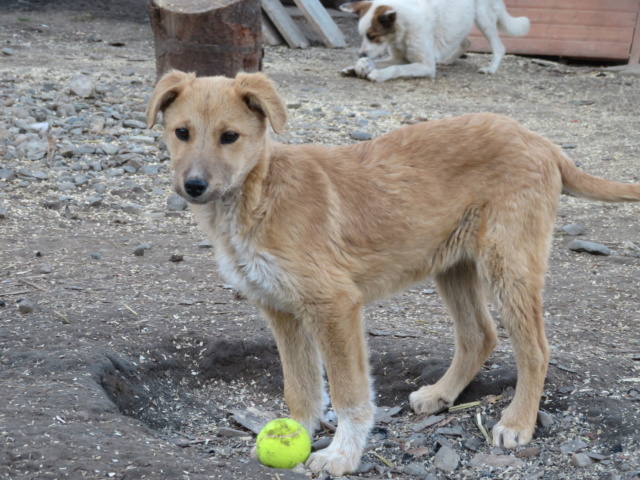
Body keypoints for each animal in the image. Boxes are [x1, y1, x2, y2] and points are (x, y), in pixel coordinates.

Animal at [146, 71, 640, 476]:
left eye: (229, 136)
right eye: (182, 133)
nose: (193, 186)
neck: (258, 193)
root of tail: (544, 143)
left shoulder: (334, 305)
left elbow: (349, 394)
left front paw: (342, 455)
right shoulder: (281, 310)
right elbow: (299, 388)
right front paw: (294, 436)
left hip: (509, 265)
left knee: (534, 349)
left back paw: (517, 423)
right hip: (454, 265)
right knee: (479, 335)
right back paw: (441, 395)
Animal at [340, 0, 528, 81]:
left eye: (373, 36)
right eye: (362, 35)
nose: (361, 55)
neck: (404, 29)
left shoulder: (425, 66)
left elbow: (396, 69)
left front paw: (379, 74)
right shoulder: (398, 58)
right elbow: (385, 63)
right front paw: (354, 67)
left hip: (483, 18)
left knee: (499, 46)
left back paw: (491, 68)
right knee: (466, 42)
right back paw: (448, 60)